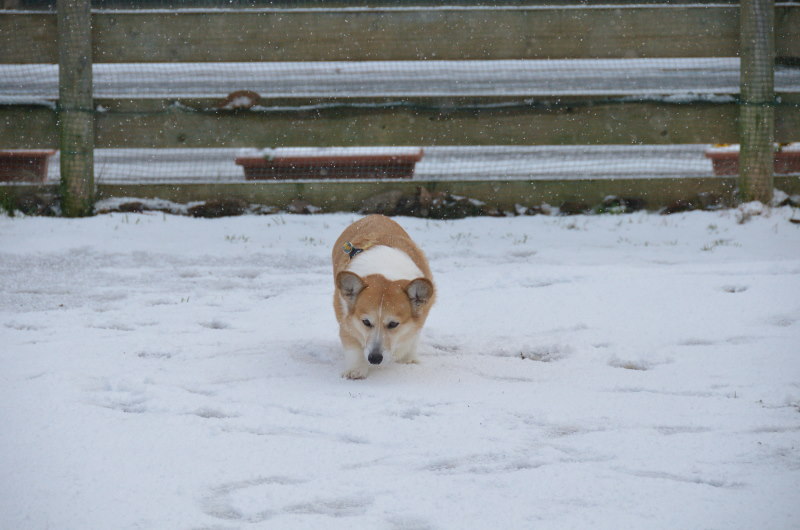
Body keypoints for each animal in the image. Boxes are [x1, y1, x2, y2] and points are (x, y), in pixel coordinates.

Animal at [334, 212, 440, 378]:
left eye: (393, 324)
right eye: (366, 322)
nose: (374, 359)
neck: (385, 270)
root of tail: (376, 215)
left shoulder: (421, 316)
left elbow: (411, 336)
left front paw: (407, 359)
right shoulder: (344, 316)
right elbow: (353, 345)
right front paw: (356, 370)